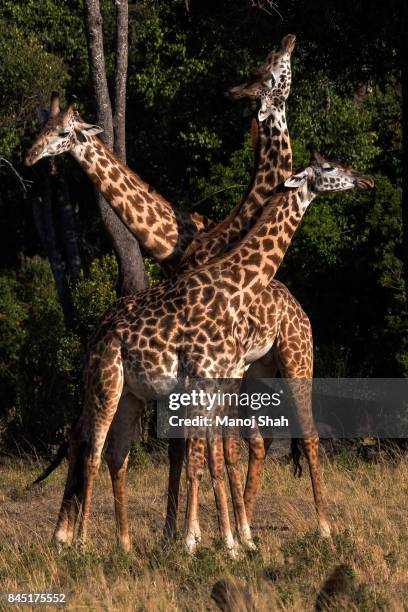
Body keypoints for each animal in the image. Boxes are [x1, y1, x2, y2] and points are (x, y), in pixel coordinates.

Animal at [24, 135, 372, 556]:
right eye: (329, 167)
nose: (366, 179)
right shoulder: (198, 381)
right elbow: (201, 455)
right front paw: (198, 539)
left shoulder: (212, 380)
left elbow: (210, 455)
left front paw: (220, 539)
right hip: (116, 385)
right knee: (94, 446)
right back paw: (82, 541)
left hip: (270, 366)